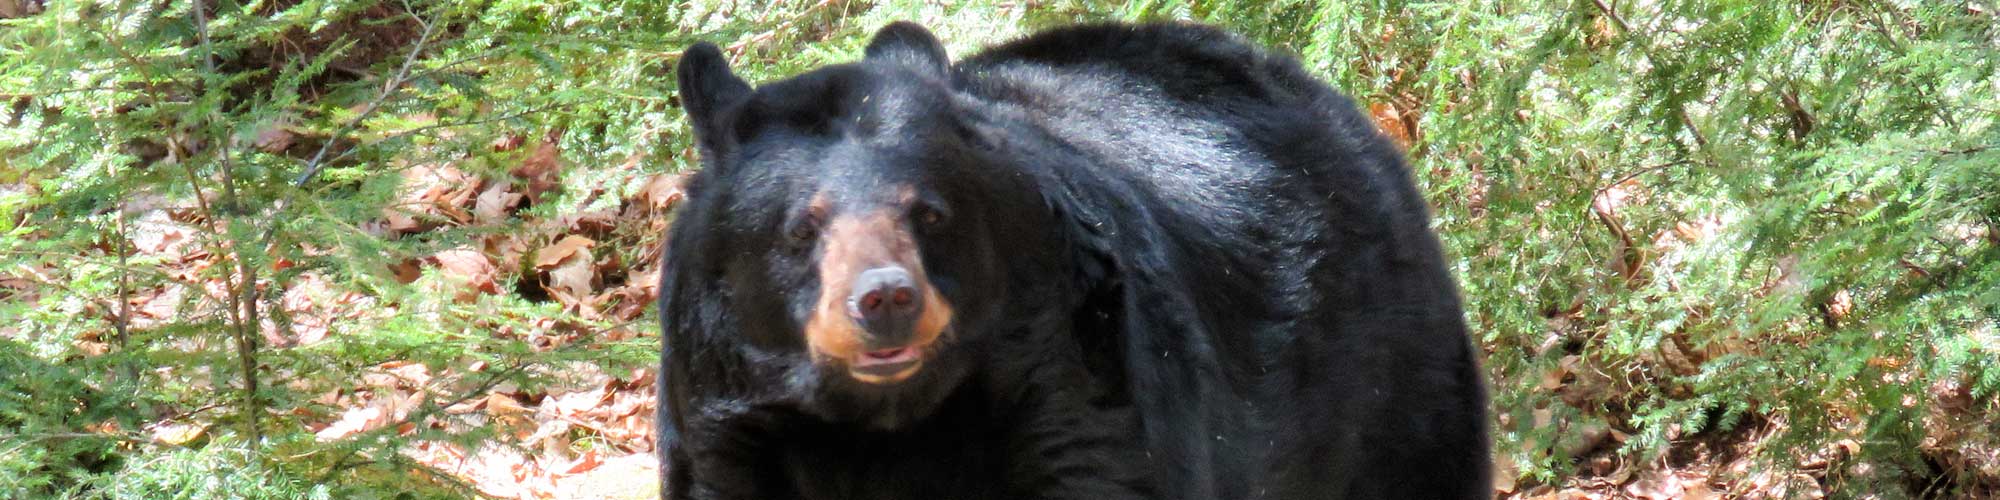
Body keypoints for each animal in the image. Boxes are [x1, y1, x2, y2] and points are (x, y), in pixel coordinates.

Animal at [656, 21, 1488, 500]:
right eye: (803, 228)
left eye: (930, 213)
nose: (885, 298)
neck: (889, 422)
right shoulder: (728, 420)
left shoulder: (1075, 384)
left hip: (1390, 390)